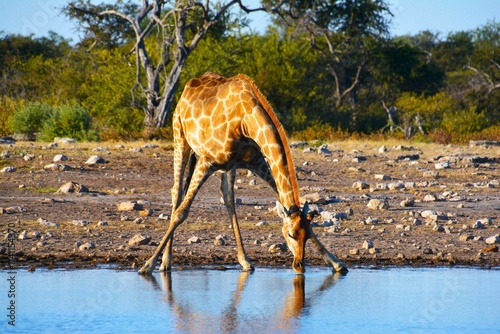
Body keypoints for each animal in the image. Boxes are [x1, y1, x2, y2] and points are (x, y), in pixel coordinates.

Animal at [138, 72, 348, 274]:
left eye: (308, 234)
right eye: (290, 234)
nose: (299, 265)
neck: (247, 121)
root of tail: (188, 87)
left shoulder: (256, 161)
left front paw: (337, 263)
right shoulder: (207, 161)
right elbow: (181, 213)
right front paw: (148, 265)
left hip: (228, 166)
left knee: (228, 198)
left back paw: (245, 261)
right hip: (180, 137)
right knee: (177, 192)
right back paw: (166, 261)